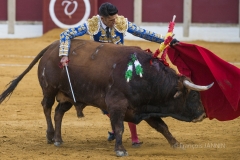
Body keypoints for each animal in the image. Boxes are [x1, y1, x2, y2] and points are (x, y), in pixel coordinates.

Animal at [0, 38, 214, 156]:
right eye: (194, 95)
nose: (202, 114)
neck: (144, 76)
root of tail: (52, 47)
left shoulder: (144, 107)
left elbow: (162, 126)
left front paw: (177, 145)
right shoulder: (117, 105)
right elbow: (119, 127)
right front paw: (120, 150)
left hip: (70, 95)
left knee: (59, 112)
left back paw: (59, 139)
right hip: (50, 89)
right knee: (46, 107)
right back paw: (50, 135)